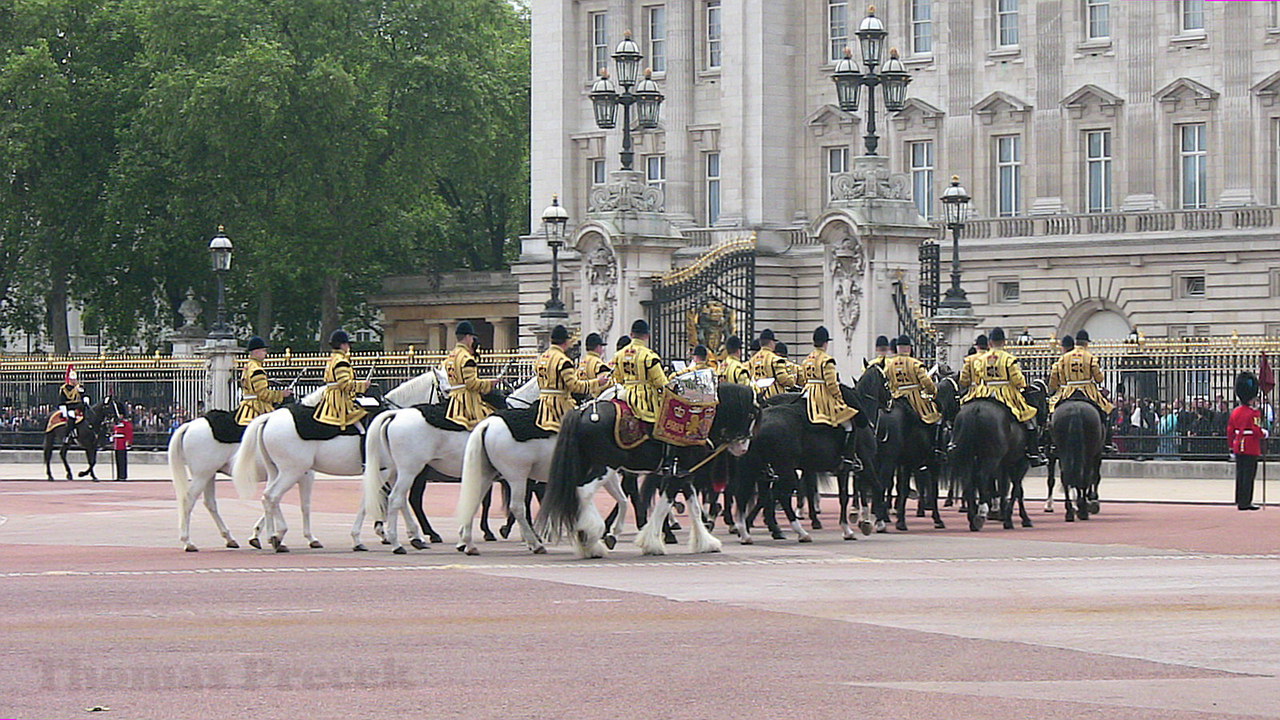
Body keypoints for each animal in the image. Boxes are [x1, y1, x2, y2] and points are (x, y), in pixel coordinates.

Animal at [232, 368, 442, 548]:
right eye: (444, 389)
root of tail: (269, 418)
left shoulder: (391, 471)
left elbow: (397, 500)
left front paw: (408, 535)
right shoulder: (385, 470)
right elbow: (386, 499)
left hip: (282, 471)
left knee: (270, 498)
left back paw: (271, 536)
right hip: (291, 471)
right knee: (272, 496)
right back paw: (277, 536)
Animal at [360, 371, 540, 550]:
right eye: (445, 390)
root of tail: (395, 415)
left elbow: (487, 500)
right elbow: (520, 500)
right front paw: (516, 532)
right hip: (413, 471)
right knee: (406, 498)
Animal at [537, 381, 757, 556]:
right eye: (750, 415)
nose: (744, 447)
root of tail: (581, 410)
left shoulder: (684, 474)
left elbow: (694, 508)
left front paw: (706, 542)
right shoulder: (675, 475)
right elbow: (663, 507)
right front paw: (653, 543)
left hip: (590, 465)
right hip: (605, 466)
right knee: (584, 491)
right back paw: (590, 534)